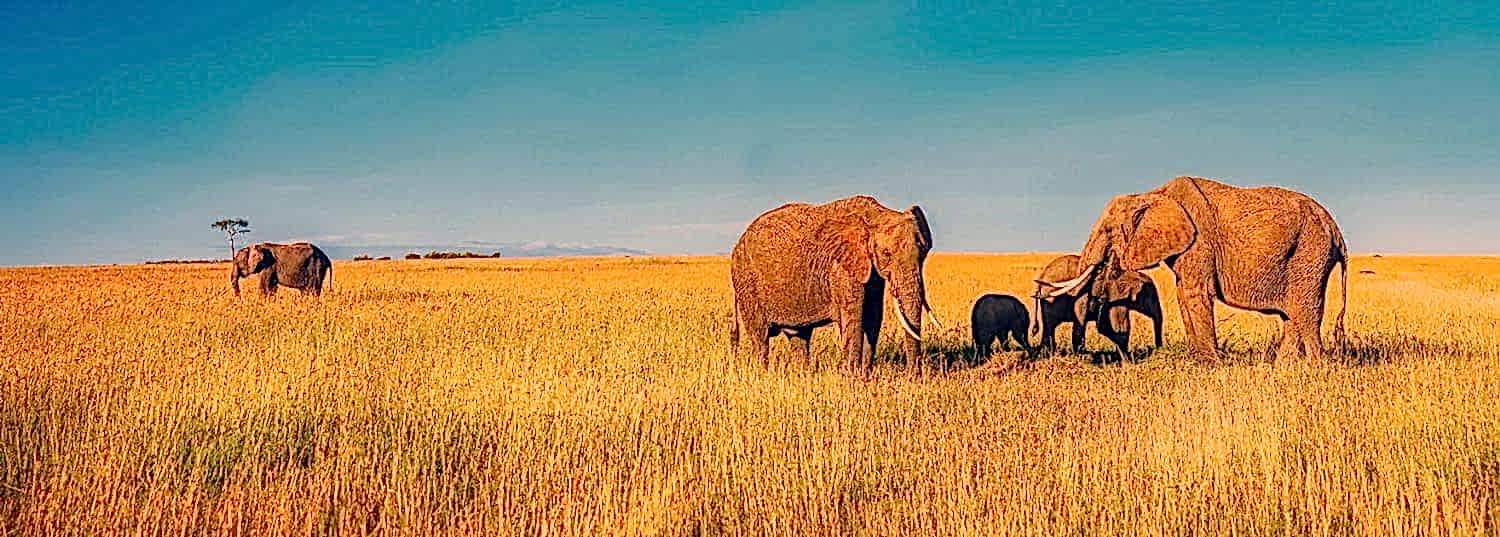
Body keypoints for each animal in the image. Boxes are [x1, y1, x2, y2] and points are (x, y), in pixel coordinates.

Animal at [729, 196, 940, 375]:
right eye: (886, 253)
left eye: (923, 250)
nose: (913, 377)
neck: (876, 214)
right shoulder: (841, 268)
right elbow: (854, 318)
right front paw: (852, 378)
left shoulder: (870, 271)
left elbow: (873, 317)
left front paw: (865, 376)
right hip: (746, 282)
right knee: (761, 339)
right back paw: (763, 374)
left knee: (799, 337)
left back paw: (804, 375)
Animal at [1032, 255, 1162, 362]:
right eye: (1151, 297)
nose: (1159, 349)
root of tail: (1041, 276)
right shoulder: (1113, 296)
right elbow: (1118, 326)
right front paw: (1127, 361)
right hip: (1051, 299)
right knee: (1052, 326)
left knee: (1049, 327)